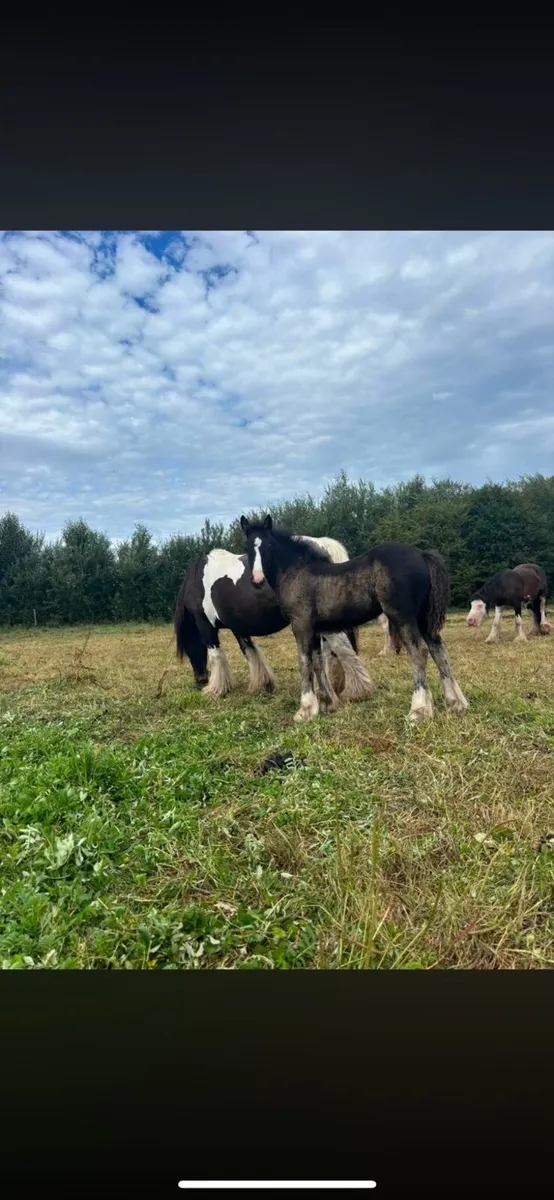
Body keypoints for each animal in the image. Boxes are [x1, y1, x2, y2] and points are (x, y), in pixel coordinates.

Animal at [174, 533, 374, 702]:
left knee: (342, 646)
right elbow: (250, 651)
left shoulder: (205, 624)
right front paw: (262, 684)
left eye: (188, 646)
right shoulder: (238, 626)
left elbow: (216, 654)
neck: (196, 580)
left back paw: (356, 691)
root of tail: (322, 544)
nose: (200, 679)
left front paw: (215, 689)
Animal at [241, 515, 469, 725]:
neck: (297, 572)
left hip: (402, 616)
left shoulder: (301, 625)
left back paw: (419, 710)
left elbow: (304, 662)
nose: (257, 580)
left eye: (268, 546)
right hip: (423, 619)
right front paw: (326, 704)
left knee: (419, 652)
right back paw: (456, 703)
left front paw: (305, 710)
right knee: (439, 650)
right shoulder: (315, 629)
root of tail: (421, 554)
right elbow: (317, 662)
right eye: (248, 548)